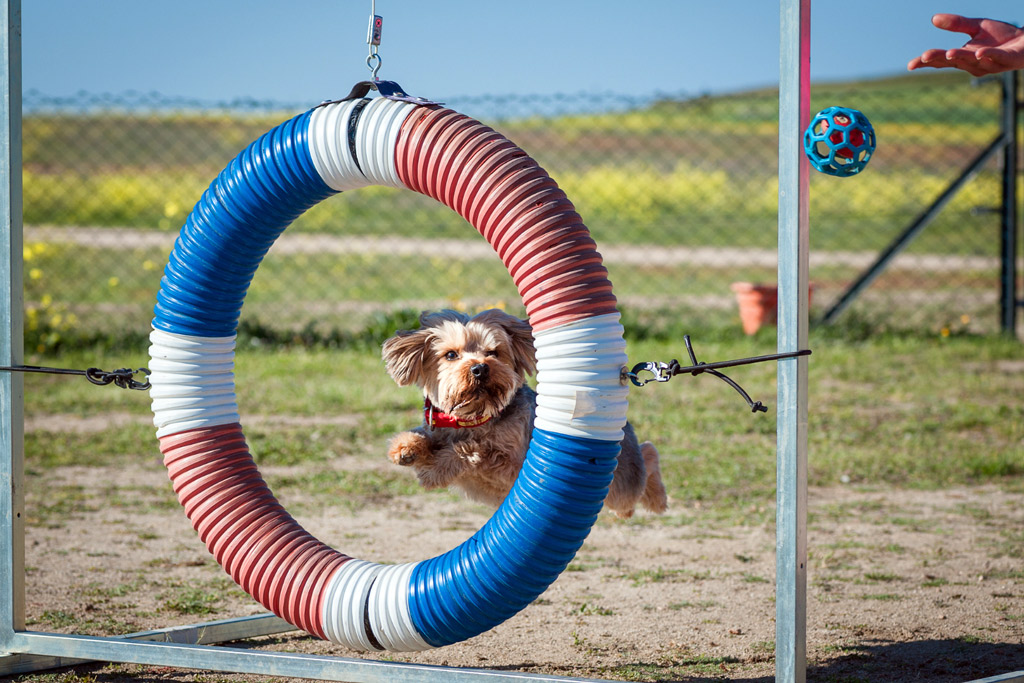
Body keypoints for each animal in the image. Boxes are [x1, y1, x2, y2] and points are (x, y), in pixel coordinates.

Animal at [380, 309, 667, 518]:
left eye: (493, 352)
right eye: (450, 355)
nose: (480, 368)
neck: (473, 416)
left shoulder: (508, 463)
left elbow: (472, 450)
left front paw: (434, 470)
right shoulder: (438, 426)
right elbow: (423, 437)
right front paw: (405, 449)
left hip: (622, 483)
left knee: (647, 461)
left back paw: (659, 499)